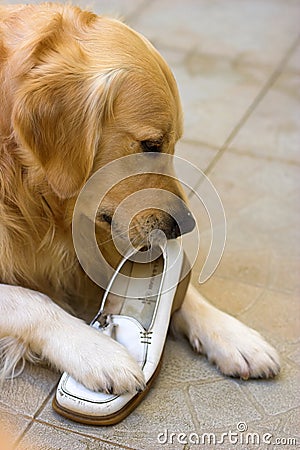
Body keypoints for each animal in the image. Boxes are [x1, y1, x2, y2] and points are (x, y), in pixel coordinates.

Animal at [0, 3, 282, 394]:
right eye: (150, 144)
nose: (186, 225)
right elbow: (30, 299)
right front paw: (97, 352)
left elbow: (176, 282)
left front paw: (232, 334)